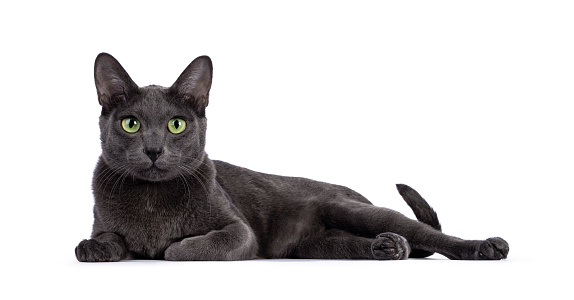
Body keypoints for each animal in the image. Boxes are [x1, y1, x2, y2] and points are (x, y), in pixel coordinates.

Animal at [75, 54, 508, 262]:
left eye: (176, 125)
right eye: (131, 124)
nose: (152, 150)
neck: (152, 201)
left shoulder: (240, 231)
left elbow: (201, 244)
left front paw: (171, 248)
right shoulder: (105, 224)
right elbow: (104, 238)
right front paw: (95, 249)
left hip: (351, 210)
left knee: (427, 235)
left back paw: (485, 247)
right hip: (317, 246)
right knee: (361, 244)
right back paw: (388, 249)